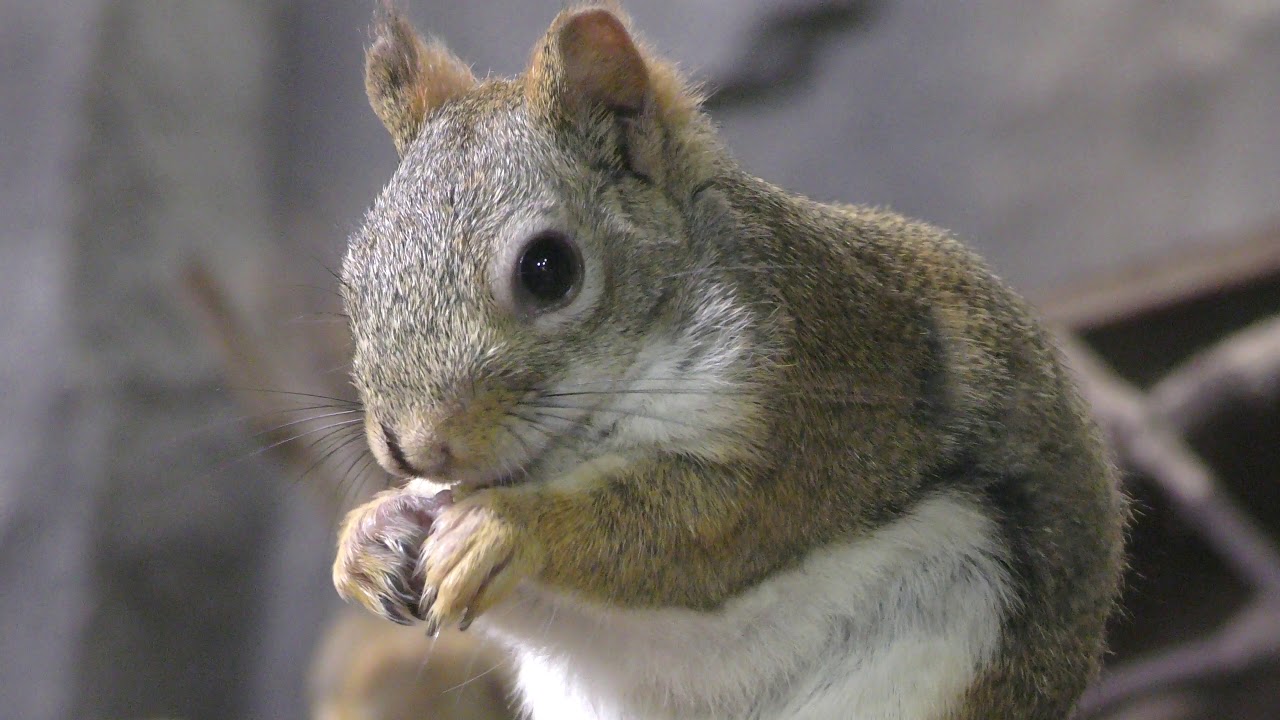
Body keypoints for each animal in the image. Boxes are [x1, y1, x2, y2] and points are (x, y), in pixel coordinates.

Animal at [331, 3, 1127, 719]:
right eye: (354, 277)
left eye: (548, 270)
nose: (412, 447)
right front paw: (366, 537)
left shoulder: (810, 401)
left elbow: (707, 529)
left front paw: (506, 528)